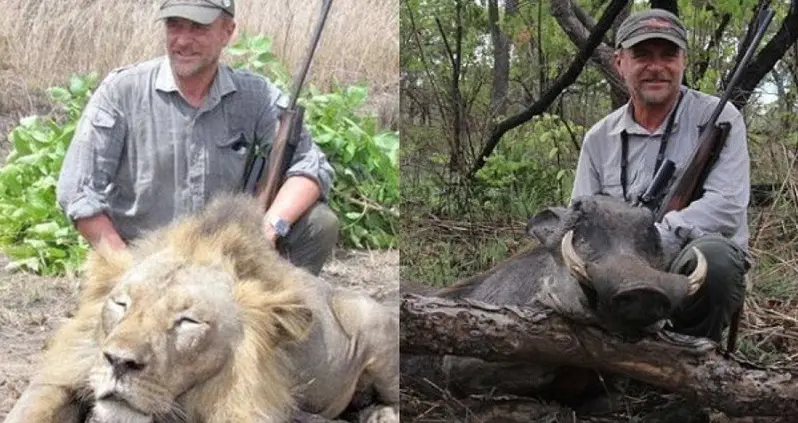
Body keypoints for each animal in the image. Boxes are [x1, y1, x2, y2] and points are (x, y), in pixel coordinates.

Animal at [3, 194, 399, 423]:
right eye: (121, 304)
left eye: (188, 322)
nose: (118, 362)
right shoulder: (62, 373)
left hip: (378, 339)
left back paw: (380, 414)